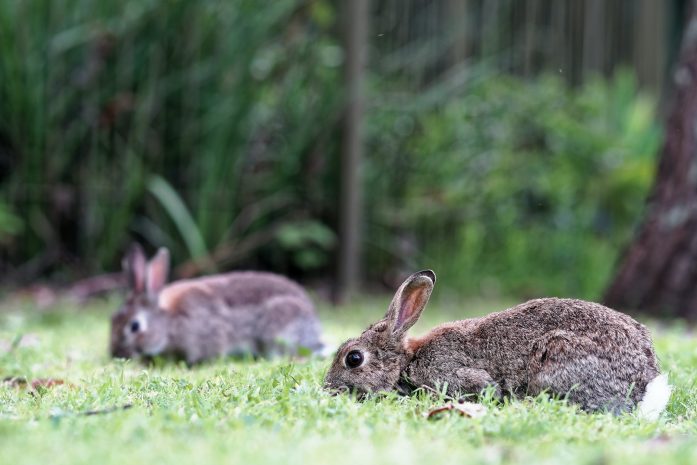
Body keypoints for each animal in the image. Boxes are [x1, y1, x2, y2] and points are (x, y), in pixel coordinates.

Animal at [324, 268, 668, 416]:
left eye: (353, 358)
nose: (328, 388)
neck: (407, 361)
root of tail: (646, 383)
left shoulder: (456, 375)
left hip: (556, 357)